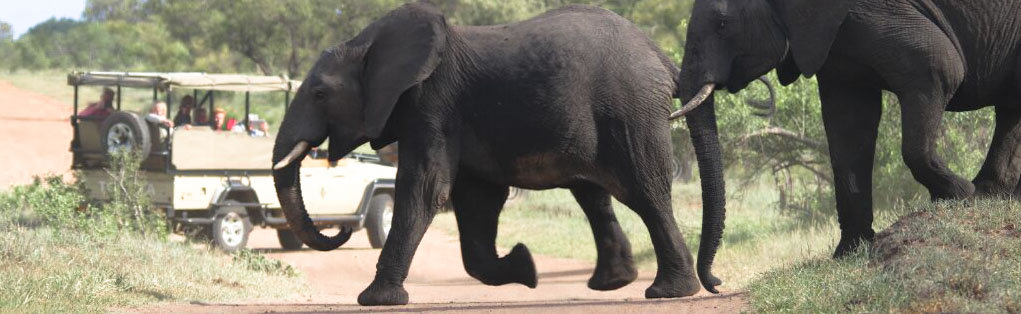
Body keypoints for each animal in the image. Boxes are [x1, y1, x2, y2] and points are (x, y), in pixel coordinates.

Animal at [273, 1, 726, 305]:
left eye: (319, 94)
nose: (340, 230)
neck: (367, 43)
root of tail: (662, 57)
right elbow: (476, 202)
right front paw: (525, 267)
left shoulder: (431, 104)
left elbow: (425, 190)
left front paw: (375, 300)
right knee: (594, 195)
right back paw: (615, 283)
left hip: (631, 111)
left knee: (645, 191)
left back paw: (667, 292)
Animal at [673, 0, 1021, 257]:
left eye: (722, 24)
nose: (714, 282)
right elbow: (848, 124)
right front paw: (849, 252)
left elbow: (940, 67)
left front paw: (958, 195)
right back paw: (991, 192)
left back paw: (982, 192)